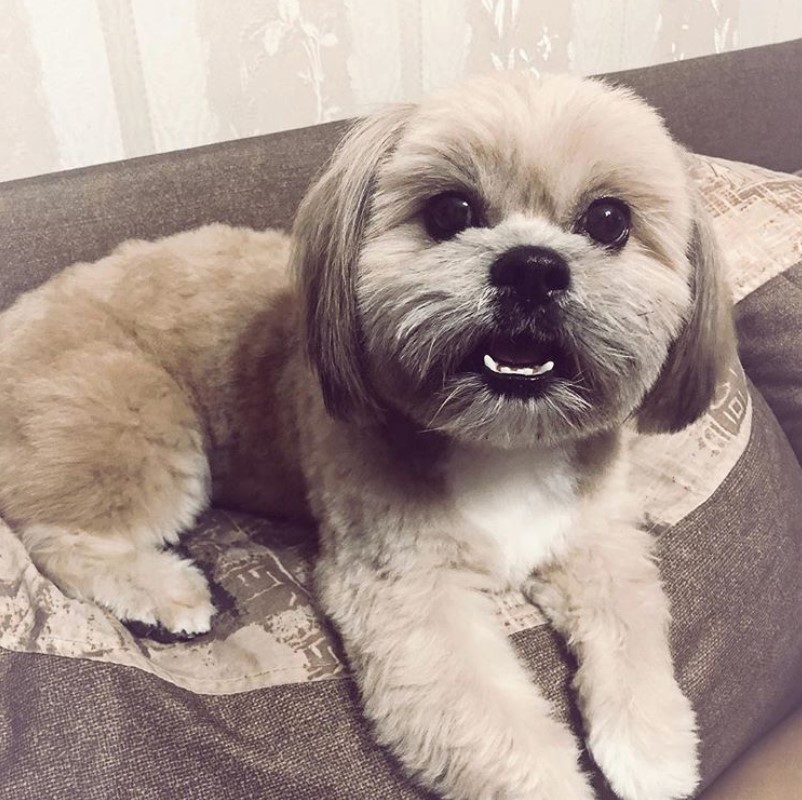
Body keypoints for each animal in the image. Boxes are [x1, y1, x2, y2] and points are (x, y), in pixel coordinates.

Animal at [0, 72, 732, 796]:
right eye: (450, 211)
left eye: (610, 220)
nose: (532, 267)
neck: (502, 440)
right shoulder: (408, 592)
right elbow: (503, 736)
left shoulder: (597, 538)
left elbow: (632, 626)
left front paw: (654, 750)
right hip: (141, 424)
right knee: (57, 538)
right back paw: (166, 591)